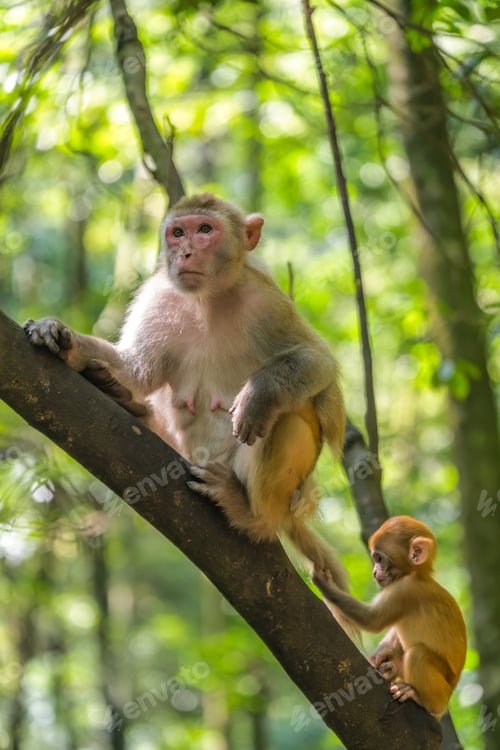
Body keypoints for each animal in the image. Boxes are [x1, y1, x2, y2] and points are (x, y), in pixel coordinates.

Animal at [24, 193, 348, 588]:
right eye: (178, 233)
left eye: (205, 230)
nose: (186, 253)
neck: (207, 299)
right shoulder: (158, 298)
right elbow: (136, 369)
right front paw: (60, 338)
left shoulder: (266, 300)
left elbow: (319, 362)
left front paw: (258, 395)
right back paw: (122, 398)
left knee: (288, 413)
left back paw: (251, 514)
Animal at [312, 515, 467, 718]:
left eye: (379, 559)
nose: (374, 572)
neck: (416, 574)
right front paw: (380, 655)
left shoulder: (405, 590)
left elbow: (372, 620)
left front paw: (324, 583)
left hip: (442, 690)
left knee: (417, 654)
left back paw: (423, 699)